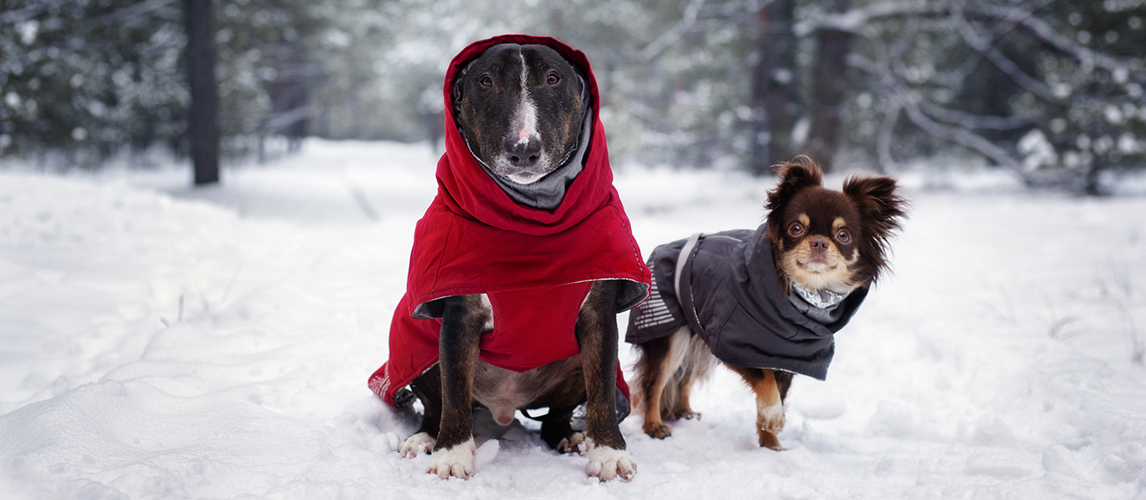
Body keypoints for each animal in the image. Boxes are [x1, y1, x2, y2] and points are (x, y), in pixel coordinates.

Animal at [628, 159, 903, 449]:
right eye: (796, 228)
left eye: (843, 235)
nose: (819, 242)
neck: (802, 299)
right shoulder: (734, 347)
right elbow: (766, 383)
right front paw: (773, 420)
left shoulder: (788, 359)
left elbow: (775, 392)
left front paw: (772, 446)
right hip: (671, 335)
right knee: (655, 383)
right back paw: (654, 426)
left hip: (696, 337)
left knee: (684, 376)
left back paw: (684, 412)